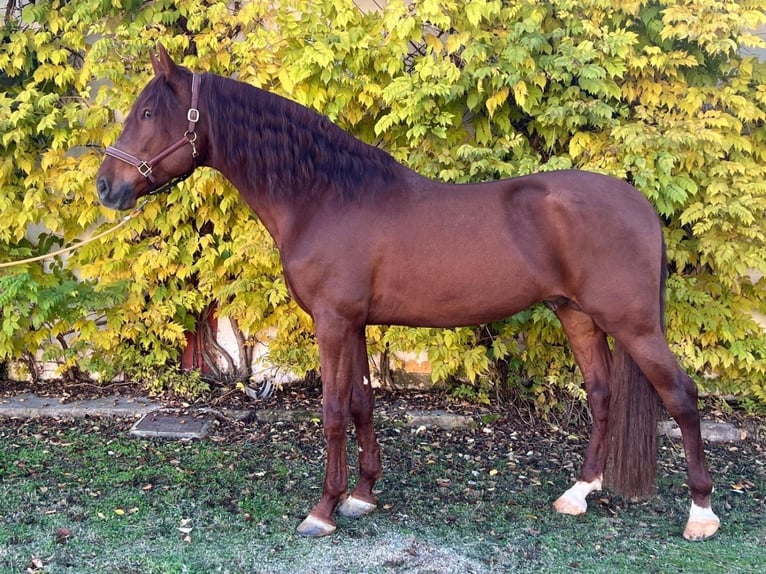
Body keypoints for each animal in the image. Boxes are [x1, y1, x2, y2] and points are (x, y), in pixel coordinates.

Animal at [96, 47, 720, 544]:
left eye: (148, 113)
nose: (106, 187)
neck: (326, 196)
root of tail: (641, 205)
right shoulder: (354, 323)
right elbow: (362, 404)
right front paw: (362, 496)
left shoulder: (332, 321)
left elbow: (331, 411)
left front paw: (322, 510)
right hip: (577, 316)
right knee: (602, 394)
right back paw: (578, 493)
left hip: (633, 323)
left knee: (682, 396)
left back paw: (701, 514)